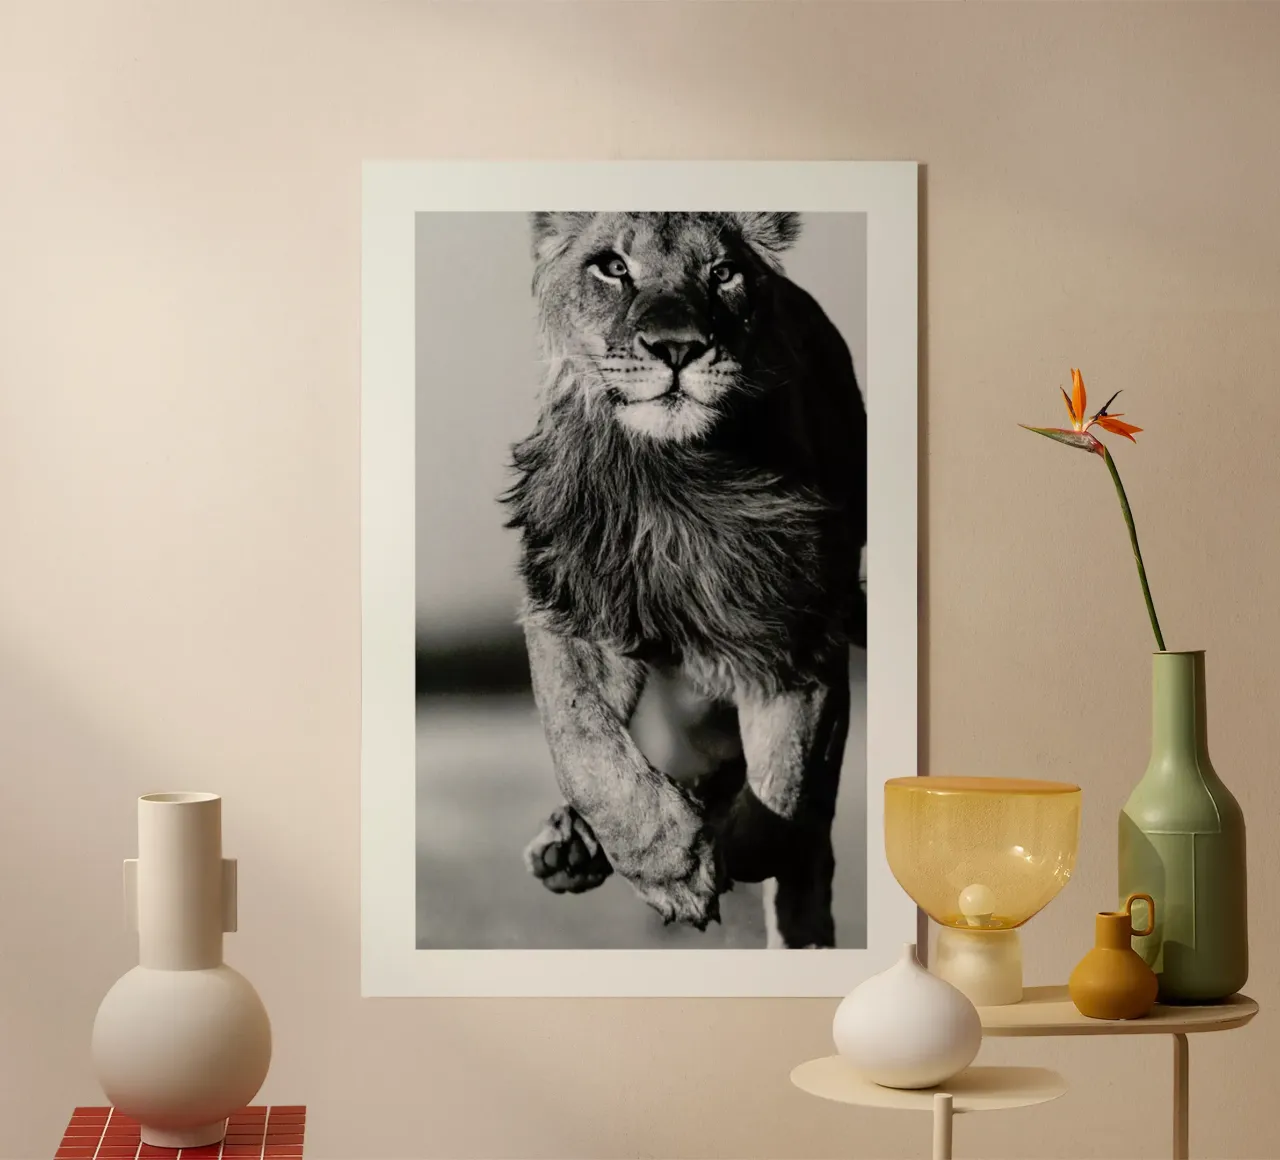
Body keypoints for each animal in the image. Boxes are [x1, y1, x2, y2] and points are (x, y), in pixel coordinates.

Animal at [501, 211, 867, 948]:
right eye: (613, 267)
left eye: (722, 274)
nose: (678, 348)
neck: (672, 476)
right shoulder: (572, 603)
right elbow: (583, 740)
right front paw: (670, 862)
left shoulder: (800, 634)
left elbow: (788, 786)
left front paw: (720, 845)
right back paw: (572, 850)